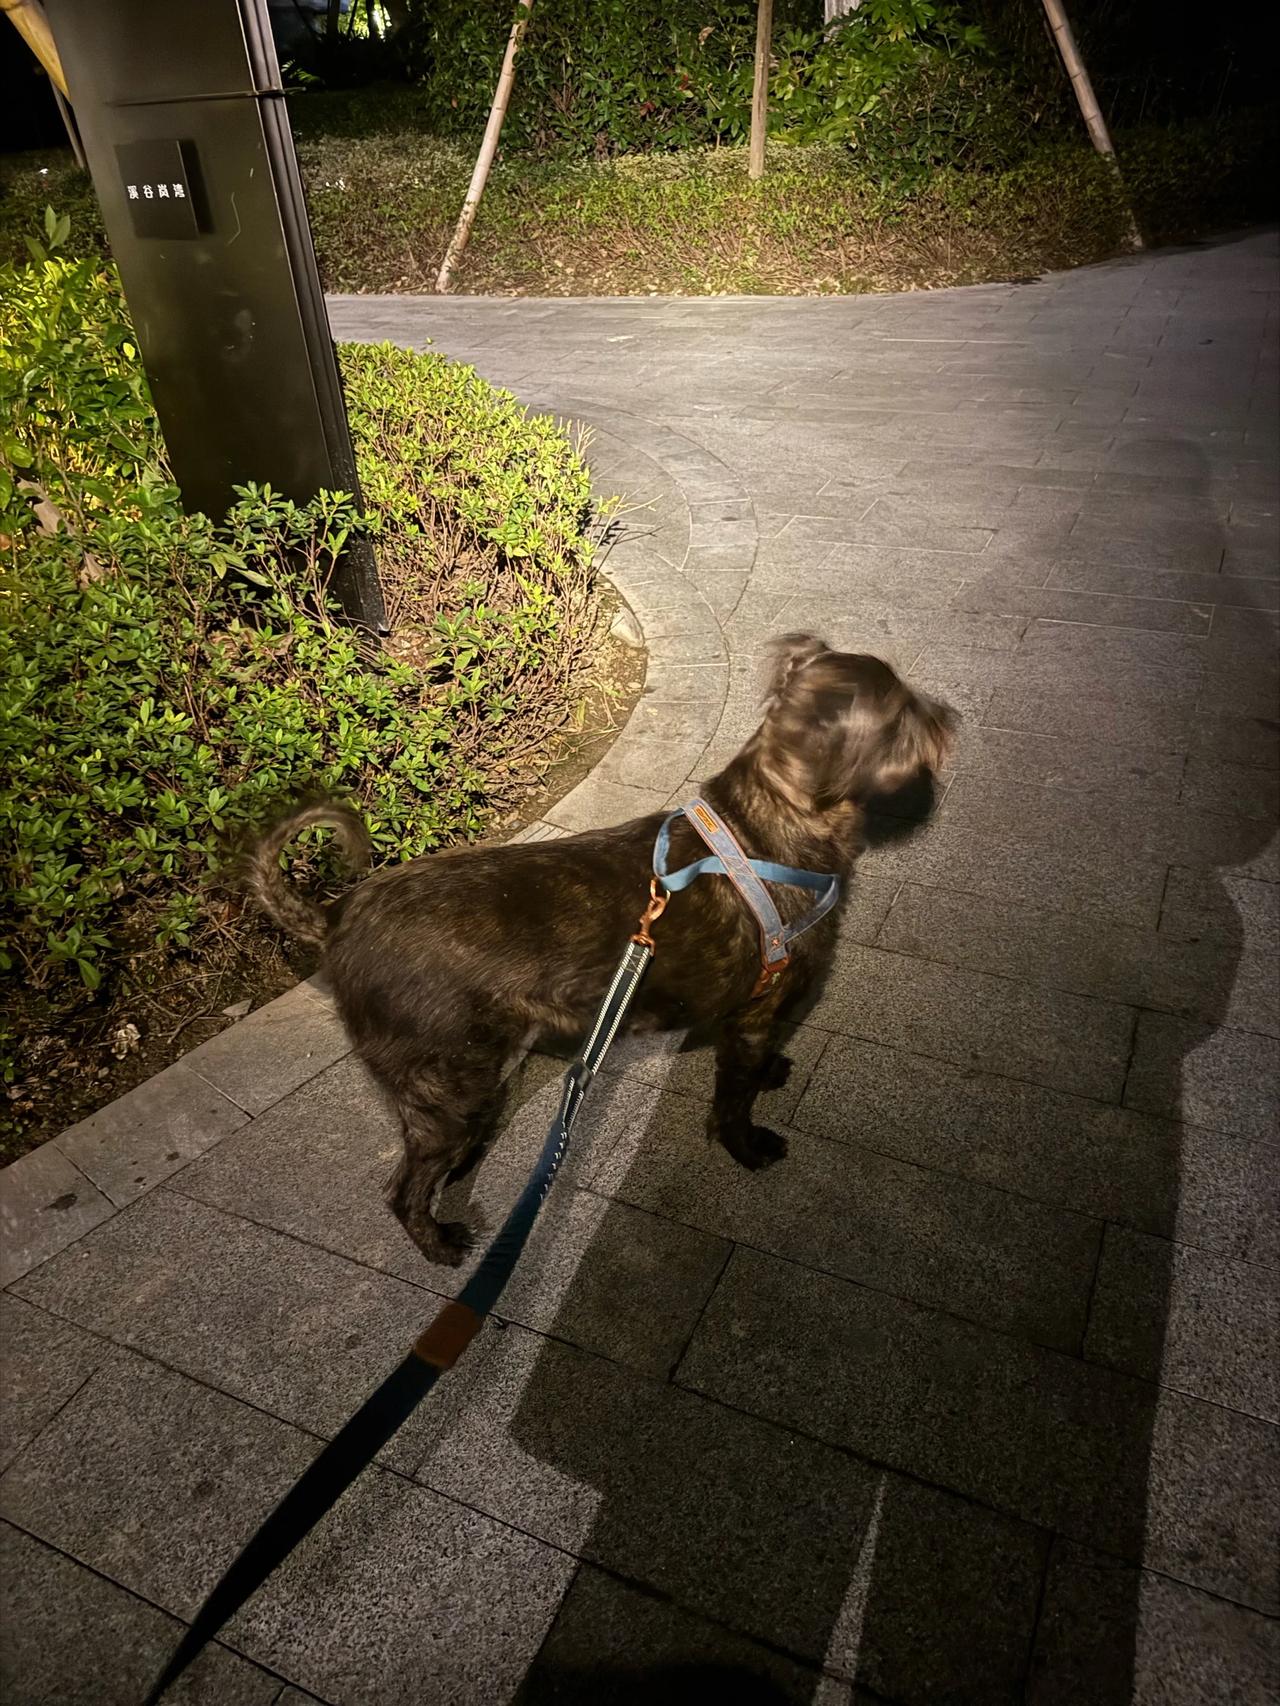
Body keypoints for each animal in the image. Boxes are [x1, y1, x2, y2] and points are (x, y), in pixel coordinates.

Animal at [242, 641, 955, 1269]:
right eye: (902, 711)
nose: (949, 717)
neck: (766, 823)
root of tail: (335, 920)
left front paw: (774, 1071)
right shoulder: (757, 1010)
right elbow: (734, 1098)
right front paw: (747, 1147)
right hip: (448, 1085)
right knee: (402, 1190)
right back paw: (440, 1243)